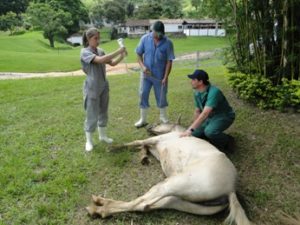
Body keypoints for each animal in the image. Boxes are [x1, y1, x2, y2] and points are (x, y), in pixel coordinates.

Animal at [86, 123, 253, 225]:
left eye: (161, 123)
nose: (149, 126)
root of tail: (230, 190)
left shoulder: (156, 138)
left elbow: (137, 142)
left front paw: (112, 148)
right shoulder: (156, 147)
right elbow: (143, 146)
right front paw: (143, 157)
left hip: (172, 184)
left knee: (141, 202)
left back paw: (100, 208)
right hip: (183, 200)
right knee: (148, 205)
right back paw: (100, 203)